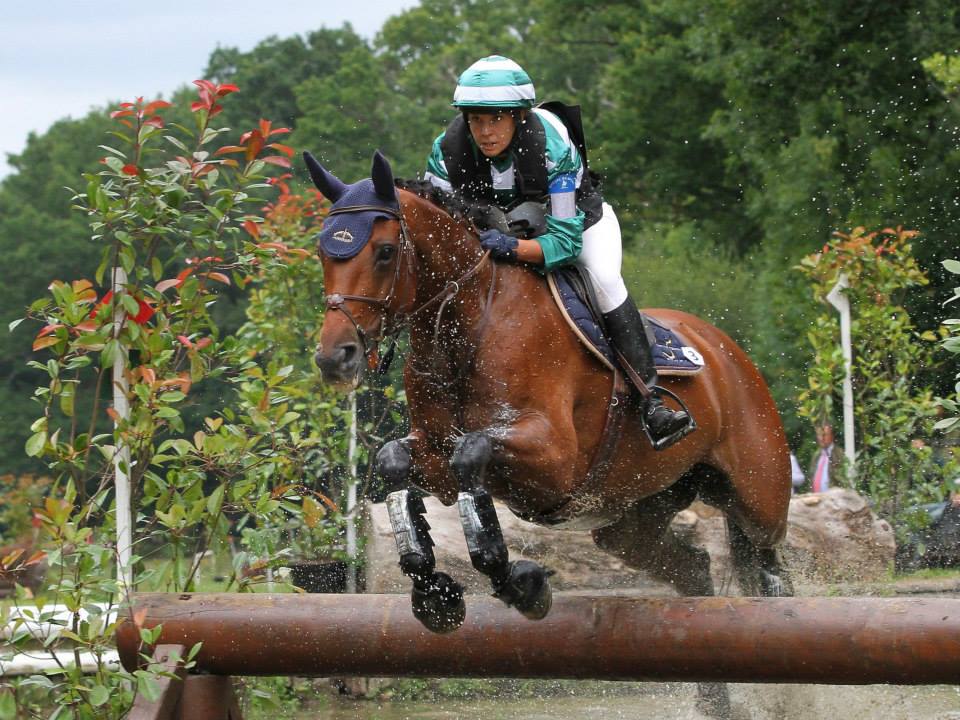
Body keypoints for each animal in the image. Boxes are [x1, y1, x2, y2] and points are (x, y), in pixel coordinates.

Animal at [304, 152, 792, 708]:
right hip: (630, 522)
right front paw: (434, 593)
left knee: (771, 568)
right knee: (693, 569)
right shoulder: (435, 454)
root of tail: (727, 351)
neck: (471, 324)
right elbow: (396, 463)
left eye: (384, 252)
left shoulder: (554, 462)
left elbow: (471, 455)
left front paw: (519, 582)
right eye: (323, 252)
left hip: (758, 496)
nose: (334, 358)